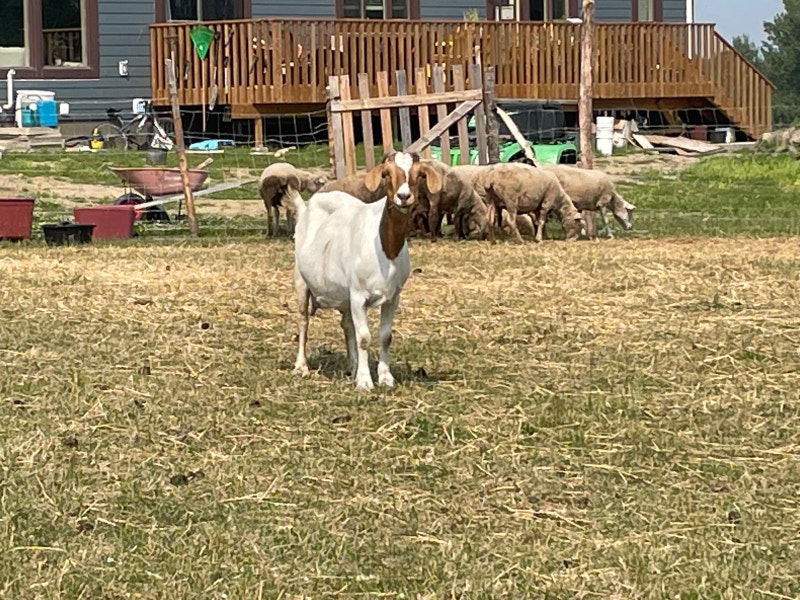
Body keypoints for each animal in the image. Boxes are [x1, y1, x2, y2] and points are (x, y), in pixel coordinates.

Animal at [288, 152, 442, 390]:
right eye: (386, 174)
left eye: (420, 175)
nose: (403, 196)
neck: (385, 248)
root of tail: (306, 206)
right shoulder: (358, 294)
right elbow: (364, 338)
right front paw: (365, 382)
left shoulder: (392, 297)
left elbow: (385, 336)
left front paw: (385, 377)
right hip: (301, 280)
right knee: (303, 320)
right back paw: (301, 366)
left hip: (344, 296)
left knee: (346, 325)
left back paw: (352, 366)